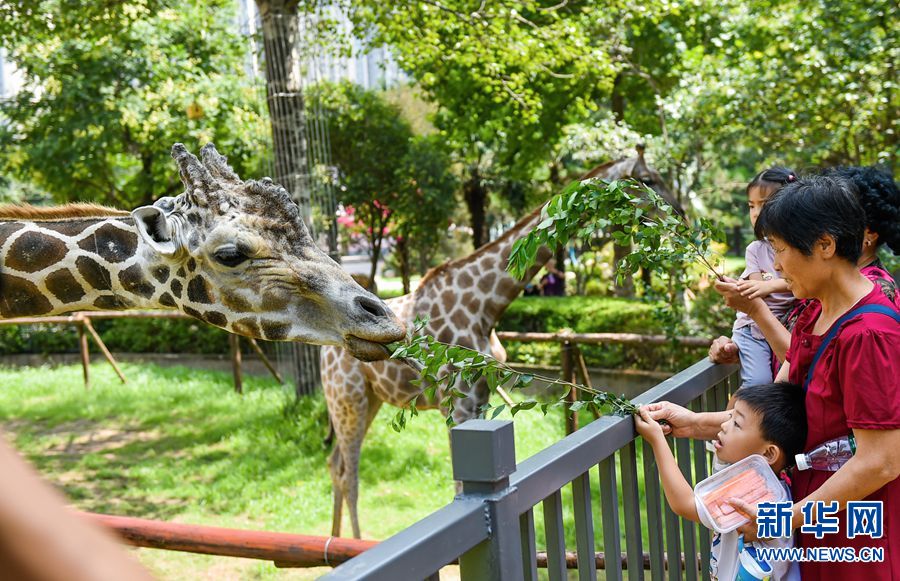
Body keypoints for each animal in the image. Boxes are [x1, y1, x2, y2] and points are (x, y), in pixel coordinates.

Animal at [324, 145, 676, 536]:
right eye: (647, 179)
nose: (680, 214)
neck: (486, 308)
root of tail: (325, 352)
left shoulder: (479, 400)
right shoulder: (457, 403)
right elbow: (458, 488)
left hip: (367, 400)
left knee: (335, 464)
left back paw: (333, 542)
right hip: (349, 398)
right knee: (348, 472)